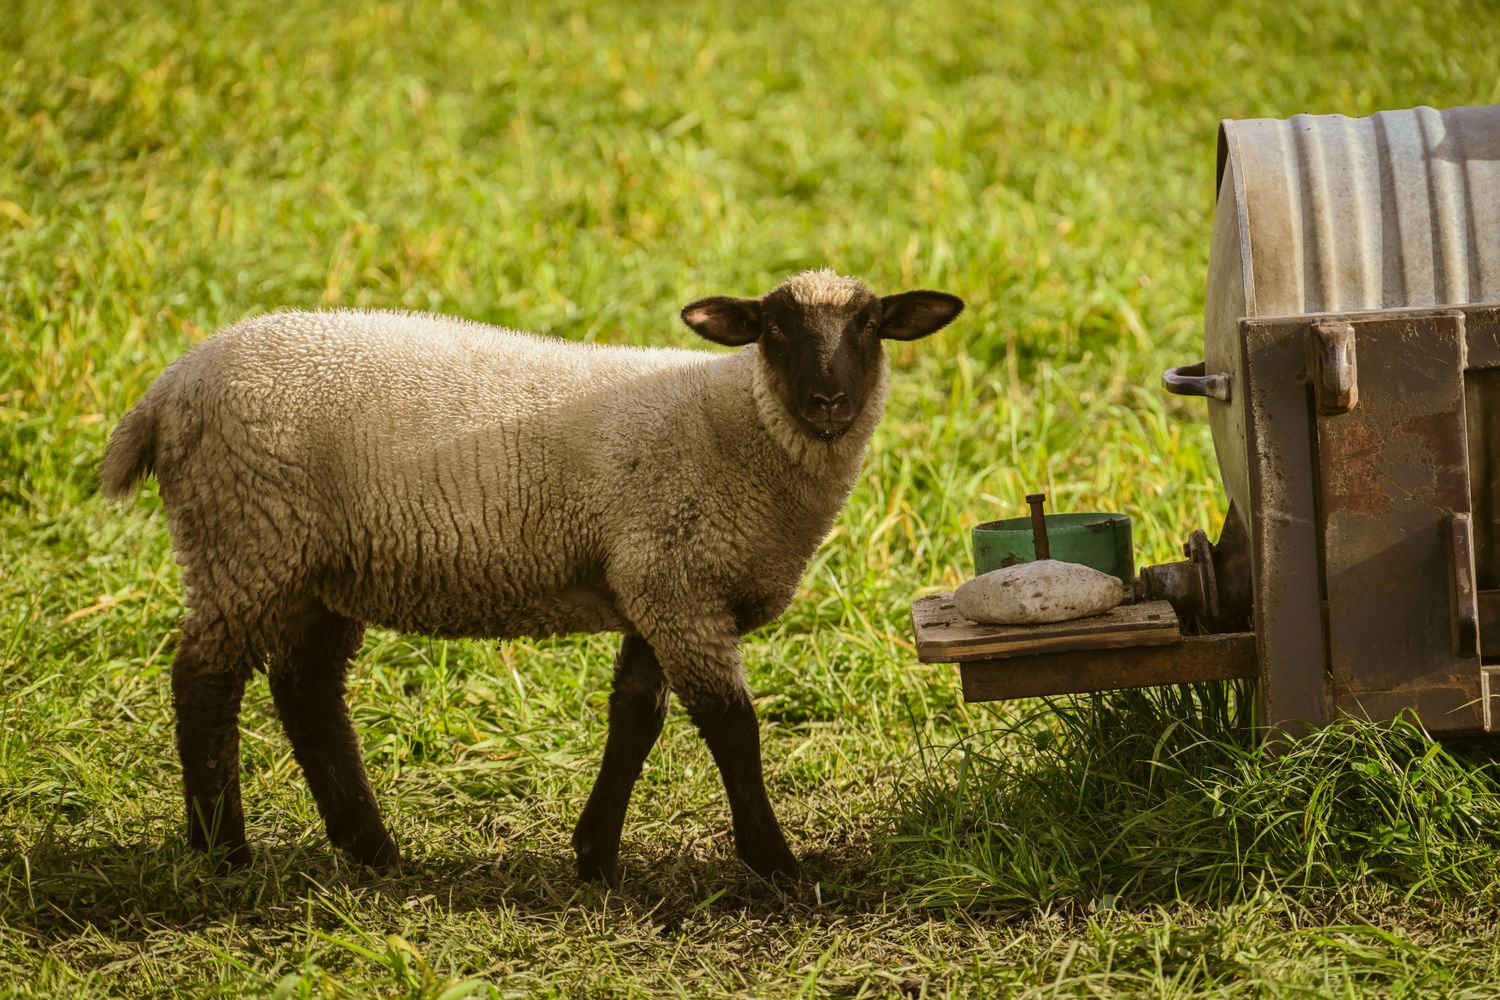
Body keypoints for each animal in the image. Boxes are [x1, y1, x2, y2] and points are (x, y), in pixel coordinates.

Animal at [101, 269, 964, 884]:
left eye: (869, 326)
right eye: (776, 329)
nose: (829, 401)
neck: (739, 422)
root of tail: (168, 388)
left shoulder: (651, 582)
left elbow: (634, 719)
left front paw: (597, 856)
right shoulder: (677, 584)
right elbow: (731, 727)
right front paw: (776, 864)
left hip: (315, 565)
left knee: (306, 690)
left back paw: (371, 848)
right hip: (245, 539)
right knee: (205, 680)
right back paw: (224, 851)